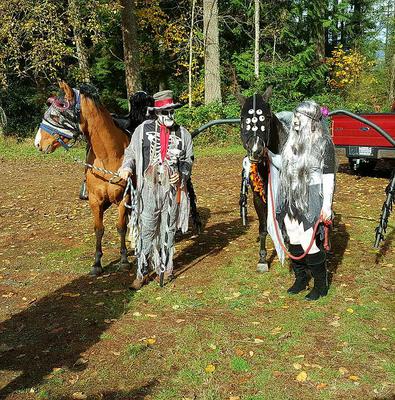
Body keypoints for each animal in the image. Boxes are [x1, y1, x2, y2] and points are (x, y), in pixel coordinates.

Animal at [35, 81, 130, 276]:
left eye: (55, 115)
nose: (38, 143)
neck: (109, 155)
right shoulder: (95, 200)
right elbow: (99, 230)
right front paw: (97, 263)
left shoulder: (124, 198)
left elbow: (121, 227)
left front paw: (124, 259)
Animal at [240, 87, 290, 272]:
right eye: (243, 119)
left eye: (266, 118)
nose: (256, 151)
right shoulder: (258, 198)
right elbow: (263, 228)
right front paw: (262, 259)